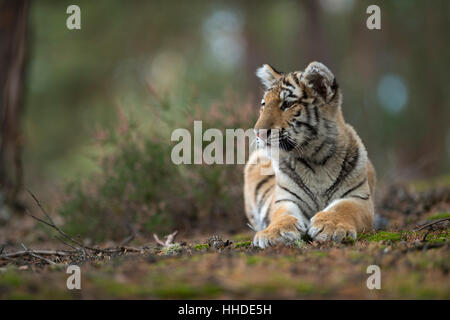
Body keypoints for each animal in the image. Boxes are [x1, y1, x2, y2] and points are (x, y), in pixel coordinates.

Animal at [244, 61, 374, 249]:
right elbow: (281, 215)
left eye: (287, 104)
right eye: (264, 104)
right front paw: (274, 233)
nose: (258, 133)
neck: (317, 159)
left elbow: (342, 208)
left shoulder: (359, 198)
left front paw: (331, 226)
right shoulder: (285, 199)